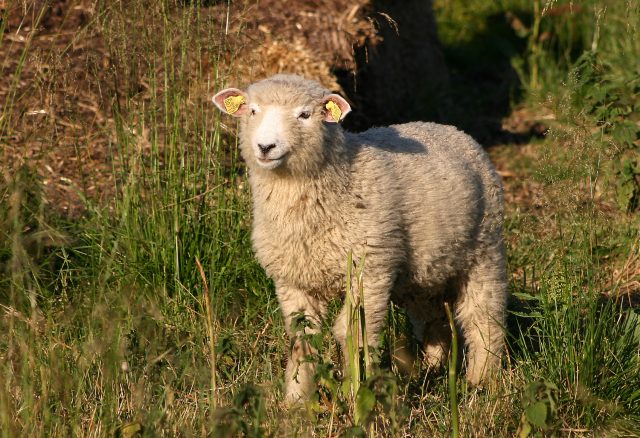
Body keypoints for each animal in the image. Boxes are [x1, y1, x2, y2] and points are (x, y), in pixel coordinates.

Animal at [212, 72, 508, 404]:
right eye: (252, 110)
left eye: (305, 115)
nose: (265, 146)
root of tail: (447, 128)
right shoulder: (293, 281)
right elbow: (302, 338)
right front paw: (296, 400)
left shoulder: (370, 272)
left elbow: (352, 332)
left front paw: (357, 394)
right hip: (423, 271)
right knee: (431, 317)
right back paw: (433, 367)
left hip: (485, 249)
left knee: (483, 317)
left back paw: (481, 381)